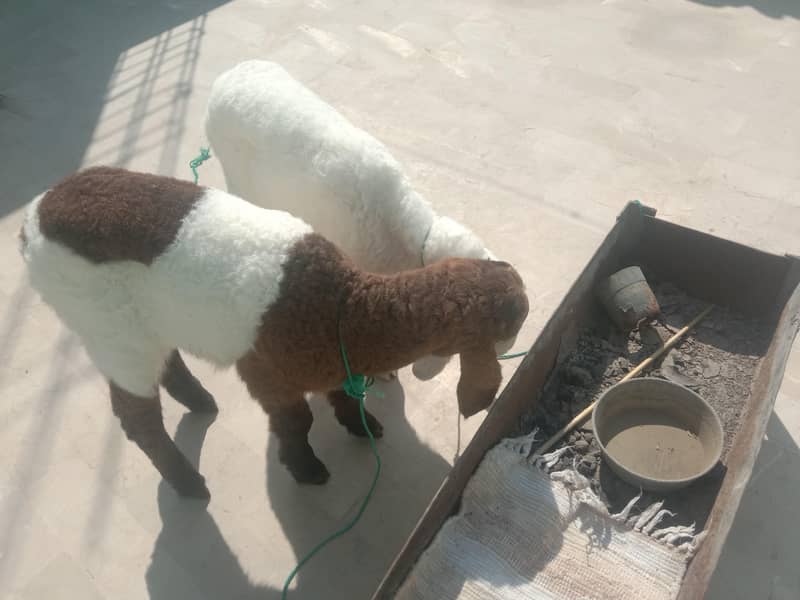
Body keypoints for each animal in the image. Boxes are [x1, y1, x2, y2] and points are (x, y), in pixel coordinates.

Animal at [20, 167, 529, 499]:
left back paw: (200, 401)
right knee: (136, 415)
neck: (344, 309)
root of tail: (32, 220)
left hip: (142, 322)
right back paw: (188, 483)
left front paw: (363, 425)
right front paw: (306, 470)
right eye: (512, 323)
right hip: (107, 328)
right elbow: (296, 422)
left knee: (167, 359)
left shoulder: (332, 359)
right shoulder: (269, 373)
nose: (520, 287)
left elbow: (345, 393)